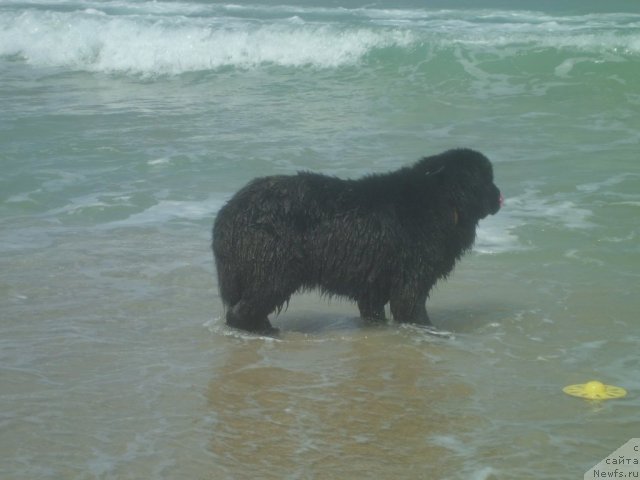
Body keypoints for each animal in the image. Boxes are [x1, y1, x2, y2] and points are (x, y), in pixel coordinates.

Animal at [212, 147, 502, 334]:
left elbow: (374, 312)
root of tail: (228, 212)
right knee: (241, 310)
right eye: (487, 179)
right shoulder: (411, 281)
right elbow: (412, 309)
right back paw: (263, 332)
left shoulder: (373, 287)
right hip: (275, 271)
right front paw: (431, 331)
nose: (500, 195)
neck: (443, 199)